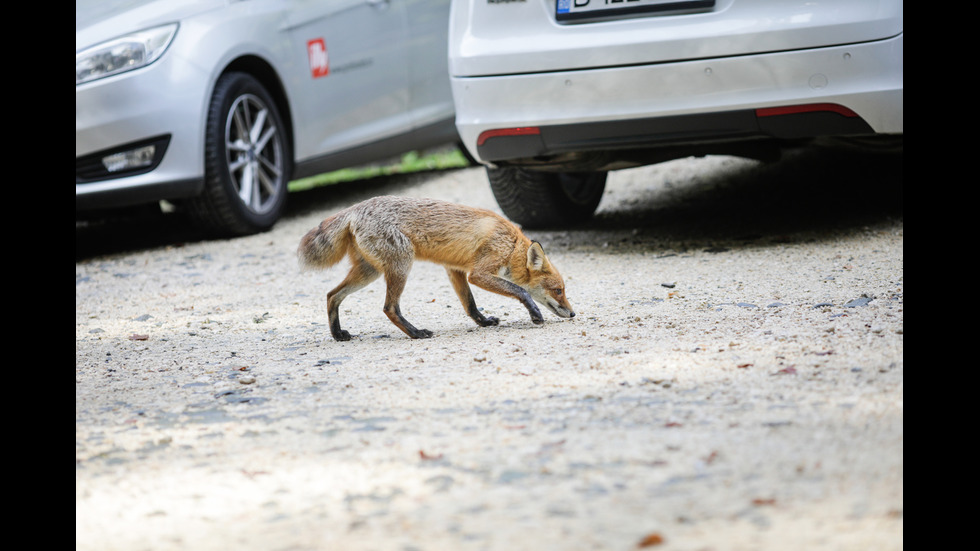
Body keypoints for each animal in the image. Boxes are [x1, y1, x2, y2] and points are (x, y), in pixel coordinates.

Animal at [298, 194, 576, 340]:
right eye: (559, 290)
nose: (573, 314)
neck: (511, 244)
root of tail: (356, 207)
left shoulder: (455, 270)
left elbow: (470, 304)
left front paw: (484, 322)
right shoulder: (478, 273)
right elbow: (522, 291)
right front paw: (534, 314)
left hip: (369, 272)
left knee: (332, 295)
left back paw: (337, 334)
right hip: (401, 265)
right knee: (389, 308)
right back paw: (416, 333)